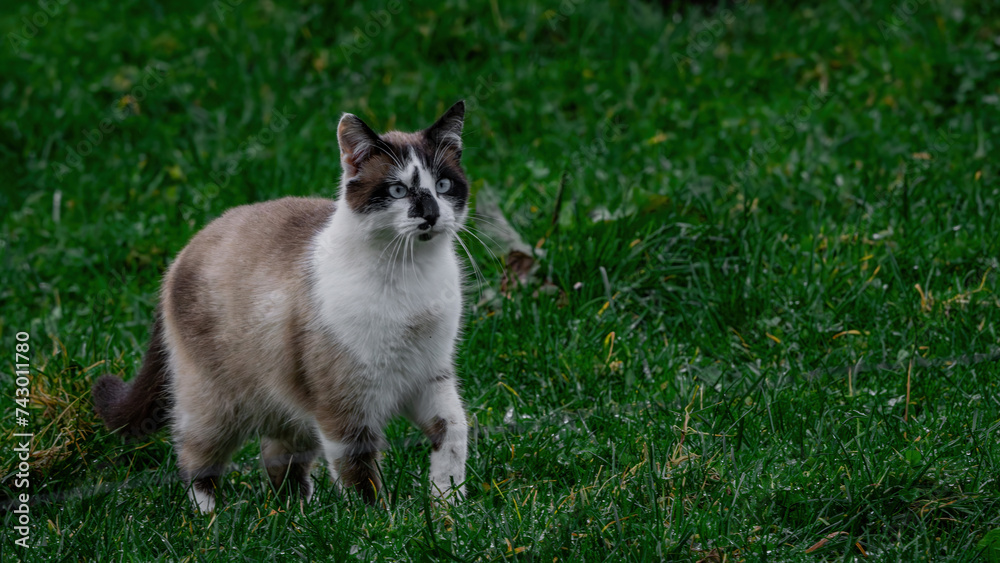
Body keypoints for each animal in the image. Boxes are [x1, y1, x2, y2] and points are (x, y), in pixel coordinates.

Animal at [93, 100, 468, 512]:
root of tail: (183, 252)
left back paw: (298, 513)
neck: (411, 271)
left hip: (286, 396)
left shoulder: (429, 375)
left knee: (277, 456)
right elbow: (359, 473)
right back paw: (211, 518)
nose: (430, 214)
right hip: (218, 405)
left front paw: (448, 508)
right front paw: (376, 520)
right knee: (195, 457)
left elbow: (454, 433)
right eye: (398, 190)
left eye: (443, 186)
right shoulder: (345, 403)